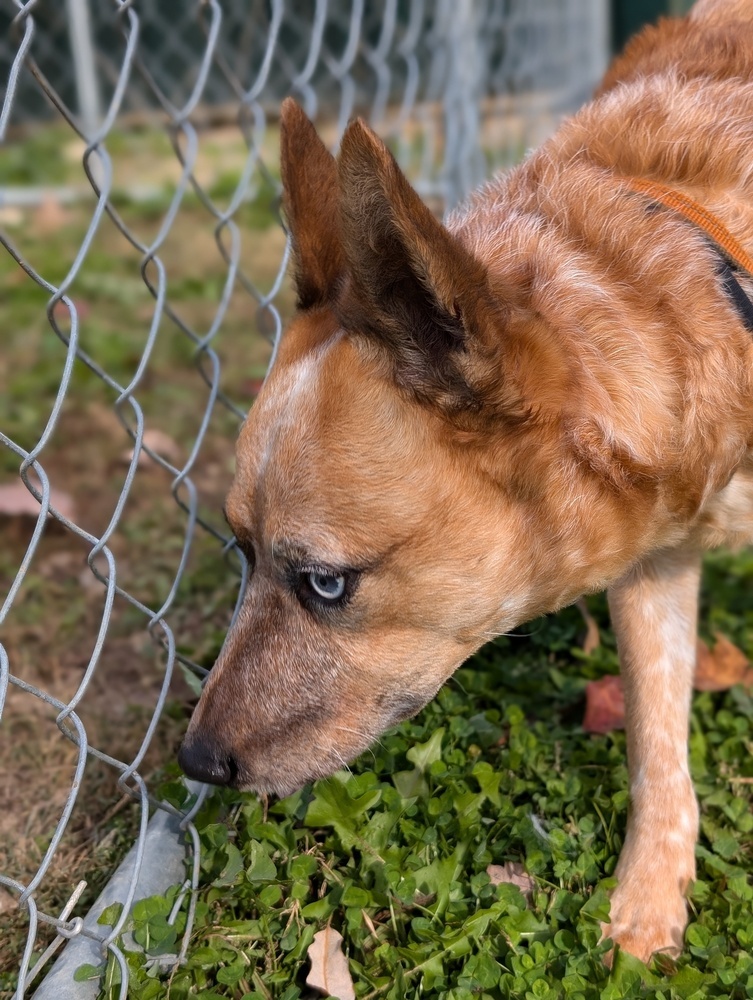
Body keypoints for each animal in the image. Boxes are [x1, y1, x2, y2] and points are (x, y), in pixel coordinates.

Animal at [179, 1, 752, 968]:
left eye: (325, 583)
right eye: (241, 549)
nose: (194, 762)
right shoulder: (655, 563)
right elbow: (654, 742)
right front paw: (646, 908)